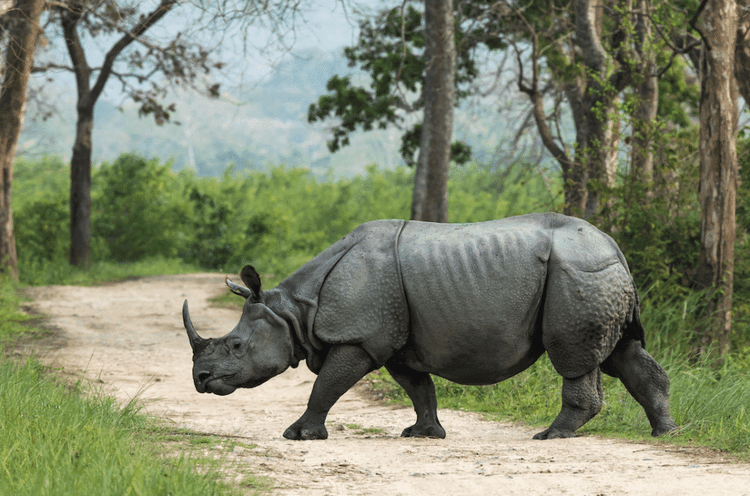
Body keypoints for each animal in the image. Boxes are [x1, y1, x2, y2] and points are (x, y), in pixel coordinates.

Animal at [183, 212, 678, 441]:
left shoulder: (360, 337)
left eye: (236, 347)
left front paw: (299, 435)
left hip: (580, 274)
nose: (200, 379)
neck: (294, 312)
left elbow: (327, 385)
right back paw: (666, 432)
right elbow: (418, 386)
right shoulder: (396, 339)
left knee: (575, 356)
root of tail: (613, 245)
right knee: (624, 353)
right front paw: (423, 434)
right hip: (598, 276)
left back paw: (550, 436)